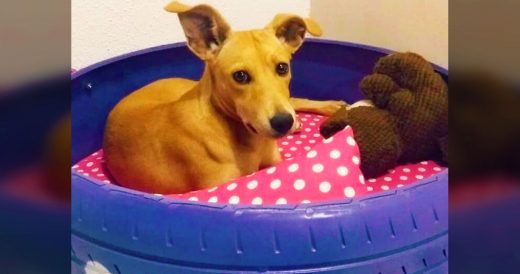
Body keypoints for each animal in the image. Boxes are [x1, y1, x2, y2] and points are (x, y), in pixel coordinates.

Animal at [103, 1, 346, 195]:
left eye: (282, 67)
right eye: (240, 76)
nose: (283, 122)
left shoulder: (275, 160)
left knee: (294, 100)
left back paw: (328, 107)